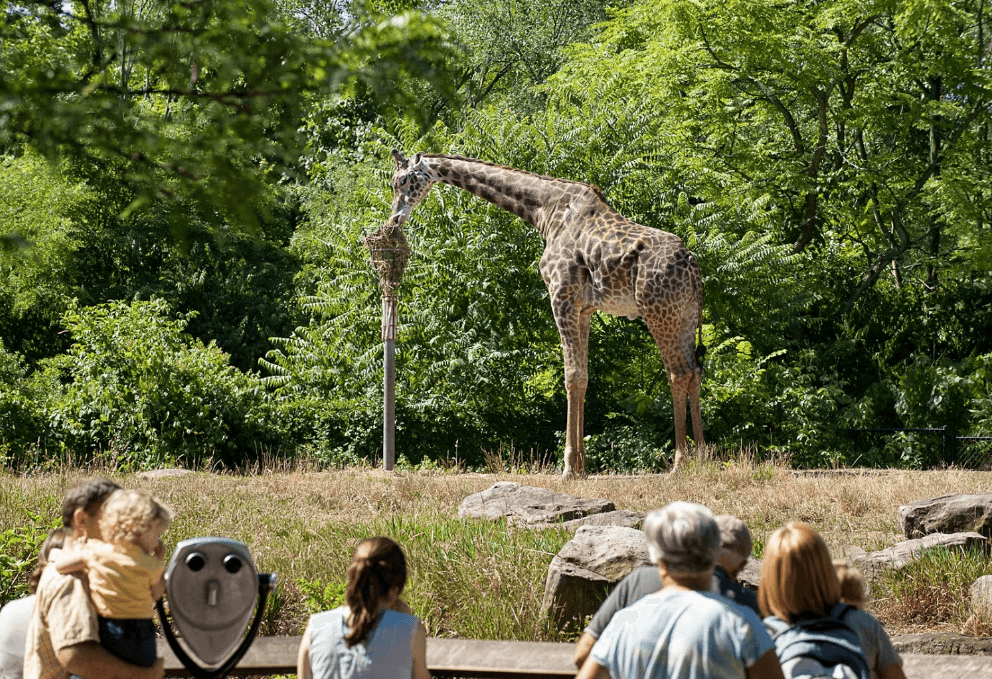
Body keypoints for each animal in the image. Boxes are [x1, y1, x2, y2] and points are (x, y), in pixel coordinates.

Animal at [388, 150, 704, 478]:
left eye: (404, 180)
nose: (395, 218)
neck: (545, 211)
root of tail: (692, 264)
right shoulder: (584, 310)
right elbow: (583, 377)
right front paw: (581, 466)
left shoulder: (561, 296)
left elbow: (571, 376)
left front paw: (568, 467)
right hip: (685, 315)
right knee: (695, 371)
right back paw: (704, 458)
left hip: (658, 312)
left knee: (678, 372)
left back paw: (680, 463)